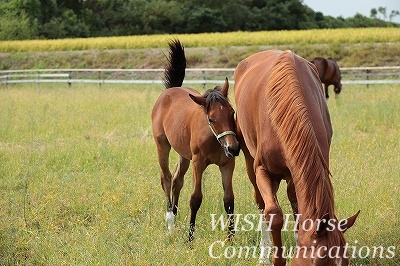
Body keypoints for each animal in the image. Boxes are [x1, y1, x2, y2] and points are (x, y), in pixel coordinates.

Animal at [152, 39, 241, 241]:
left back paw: (175, 214)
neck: (214, 140)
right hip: (162, 145)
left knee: (177, 180)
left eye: (232, 113)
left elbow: (229, 199)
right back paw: (170, 221)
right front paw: (190, 237)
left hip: (184, 154)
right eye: (211, 119)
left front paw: (231, 239)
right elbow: (195, 198)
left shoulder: (227, 164)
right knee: (166, 178)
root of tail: (169, 91)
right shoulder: (198, 163)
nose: (233, 148)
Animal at [234, 49, 360, 264]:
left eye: (346, 261)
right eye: (317, 262)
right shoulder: (263, 171)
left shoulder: (297, 174)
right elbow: (273, 214)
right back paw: (264, 253)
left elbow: (298, 211)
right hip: (249, 160)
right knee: (261, 204)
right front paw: (276, 259)